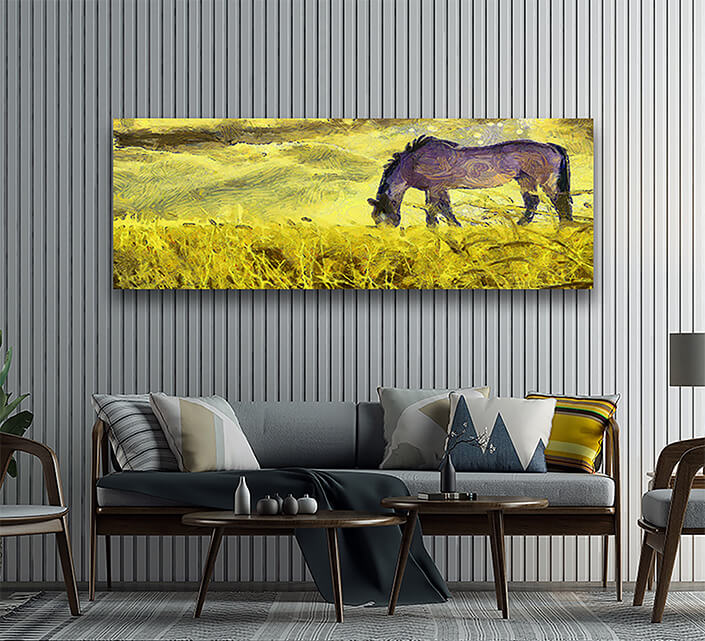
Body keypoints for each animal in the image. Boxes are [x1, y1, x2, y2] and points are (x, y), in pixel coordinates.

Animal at [367, 135, 573, 227]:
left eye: (381, 217)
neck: (414, 161)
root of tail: (552, 147)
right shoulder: (440, 189)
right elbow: (446, 208)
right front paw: (455, 227)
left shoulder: (434, 188)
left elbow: (433, 209)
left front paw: (433, 228)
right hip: (526, 181)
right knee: (534, 202)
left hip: (545, 182)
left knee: (558, 202)